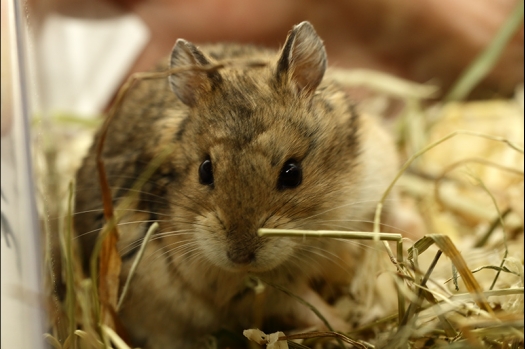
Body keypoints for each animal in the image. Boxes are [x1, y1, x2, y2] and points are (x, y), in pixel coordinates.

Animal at [73, 21, 400, 348]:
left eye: (292, 173)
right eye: (205, 170)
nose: (239, 257)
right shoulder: (241, 287)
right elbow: (304, 301)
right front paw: (347, 326)